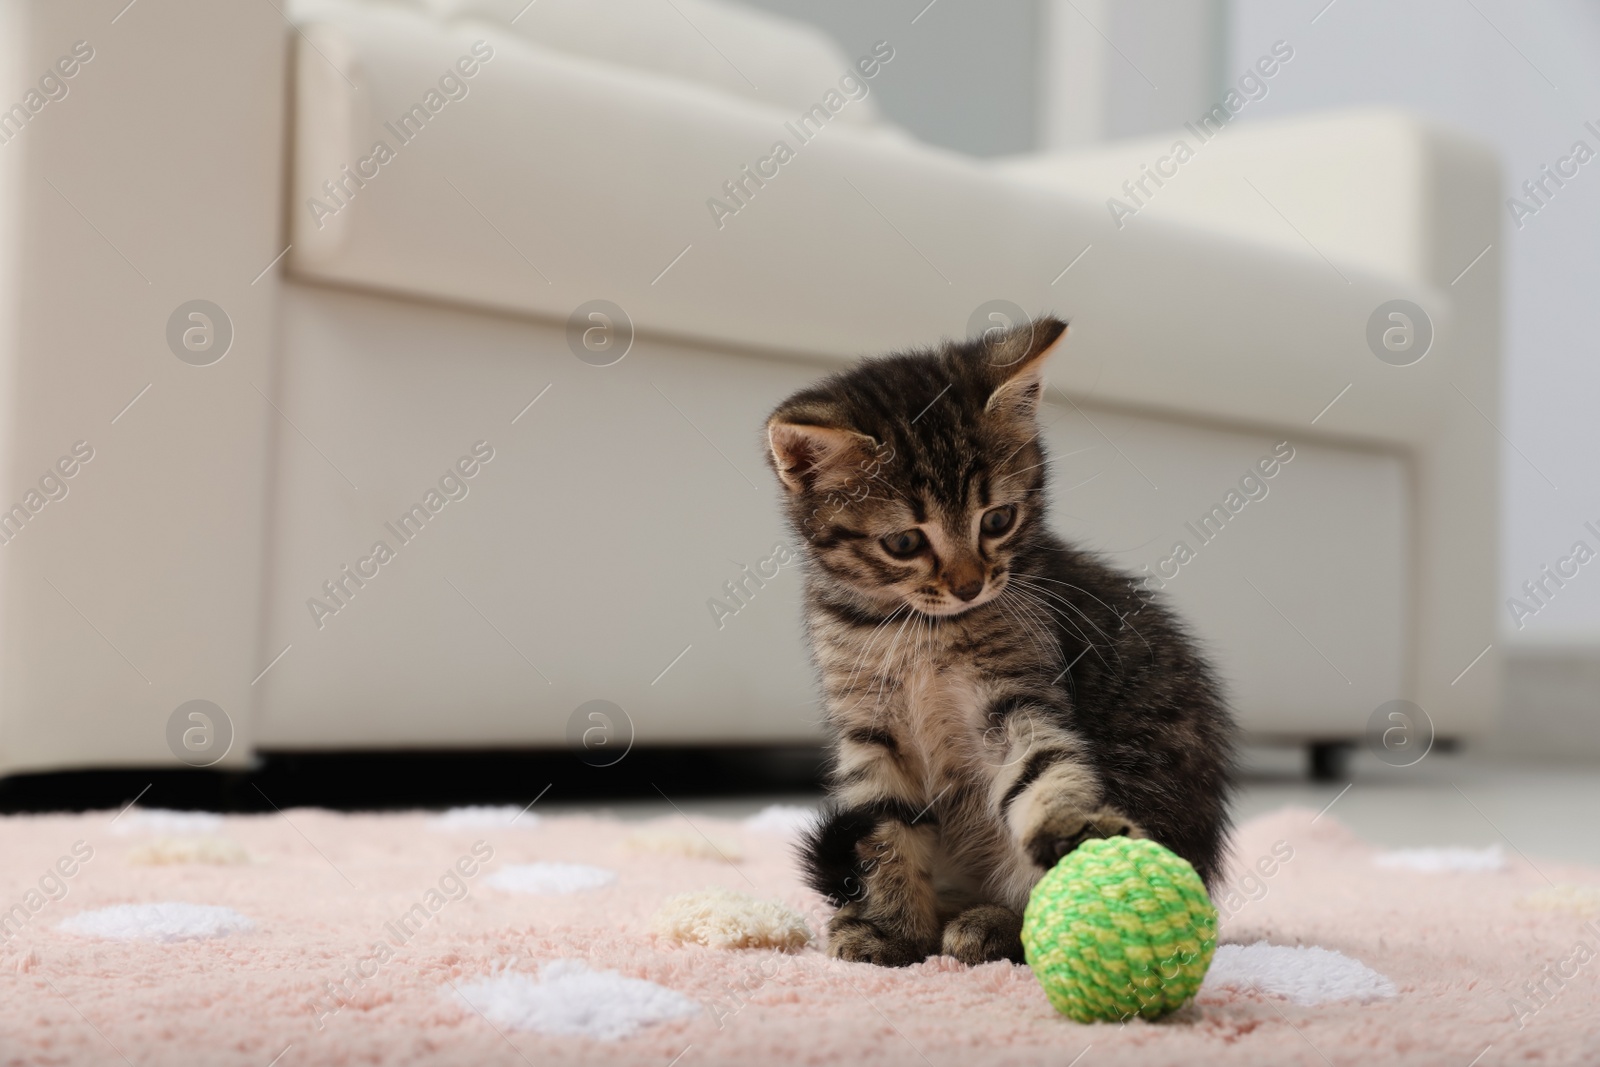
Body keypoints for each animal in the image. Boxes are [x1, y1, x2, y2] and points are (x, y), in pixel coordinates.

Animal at [768, 315, 1228, 966]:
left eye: (997, 520)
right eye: (904, 543)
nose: (969, 585)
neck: (917, 631)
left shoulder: (1016, 697)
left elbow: (1044, 768)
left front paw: (1072, 833)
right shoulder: (869, 729)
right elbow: (883, 826)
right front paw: (891, 929)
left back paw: (996, 923)